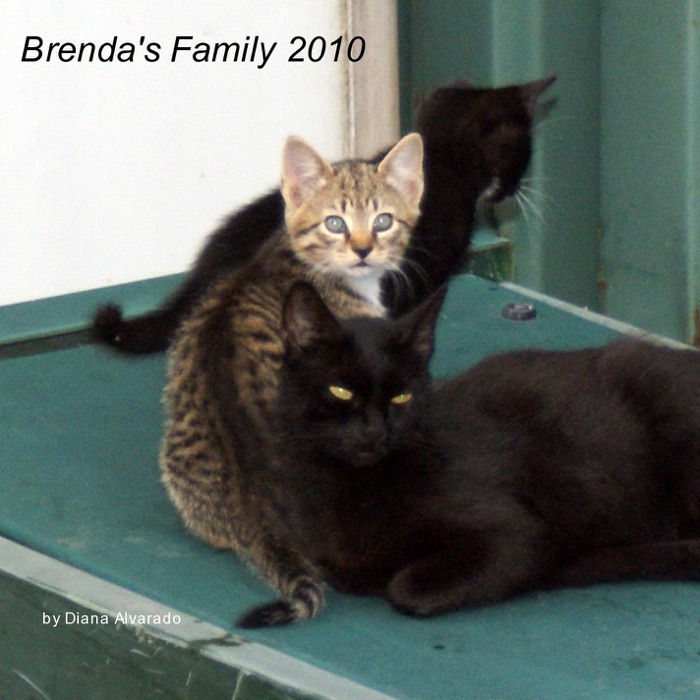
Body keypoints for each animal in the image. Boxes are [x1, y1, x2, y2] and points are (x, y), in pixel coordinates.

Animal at [236, 281, 700, 626]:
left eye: (401, 396)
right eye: (340, 391)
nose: (375, 431)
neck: (350, 487)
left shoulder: (517, 534)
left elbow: (404, 588)